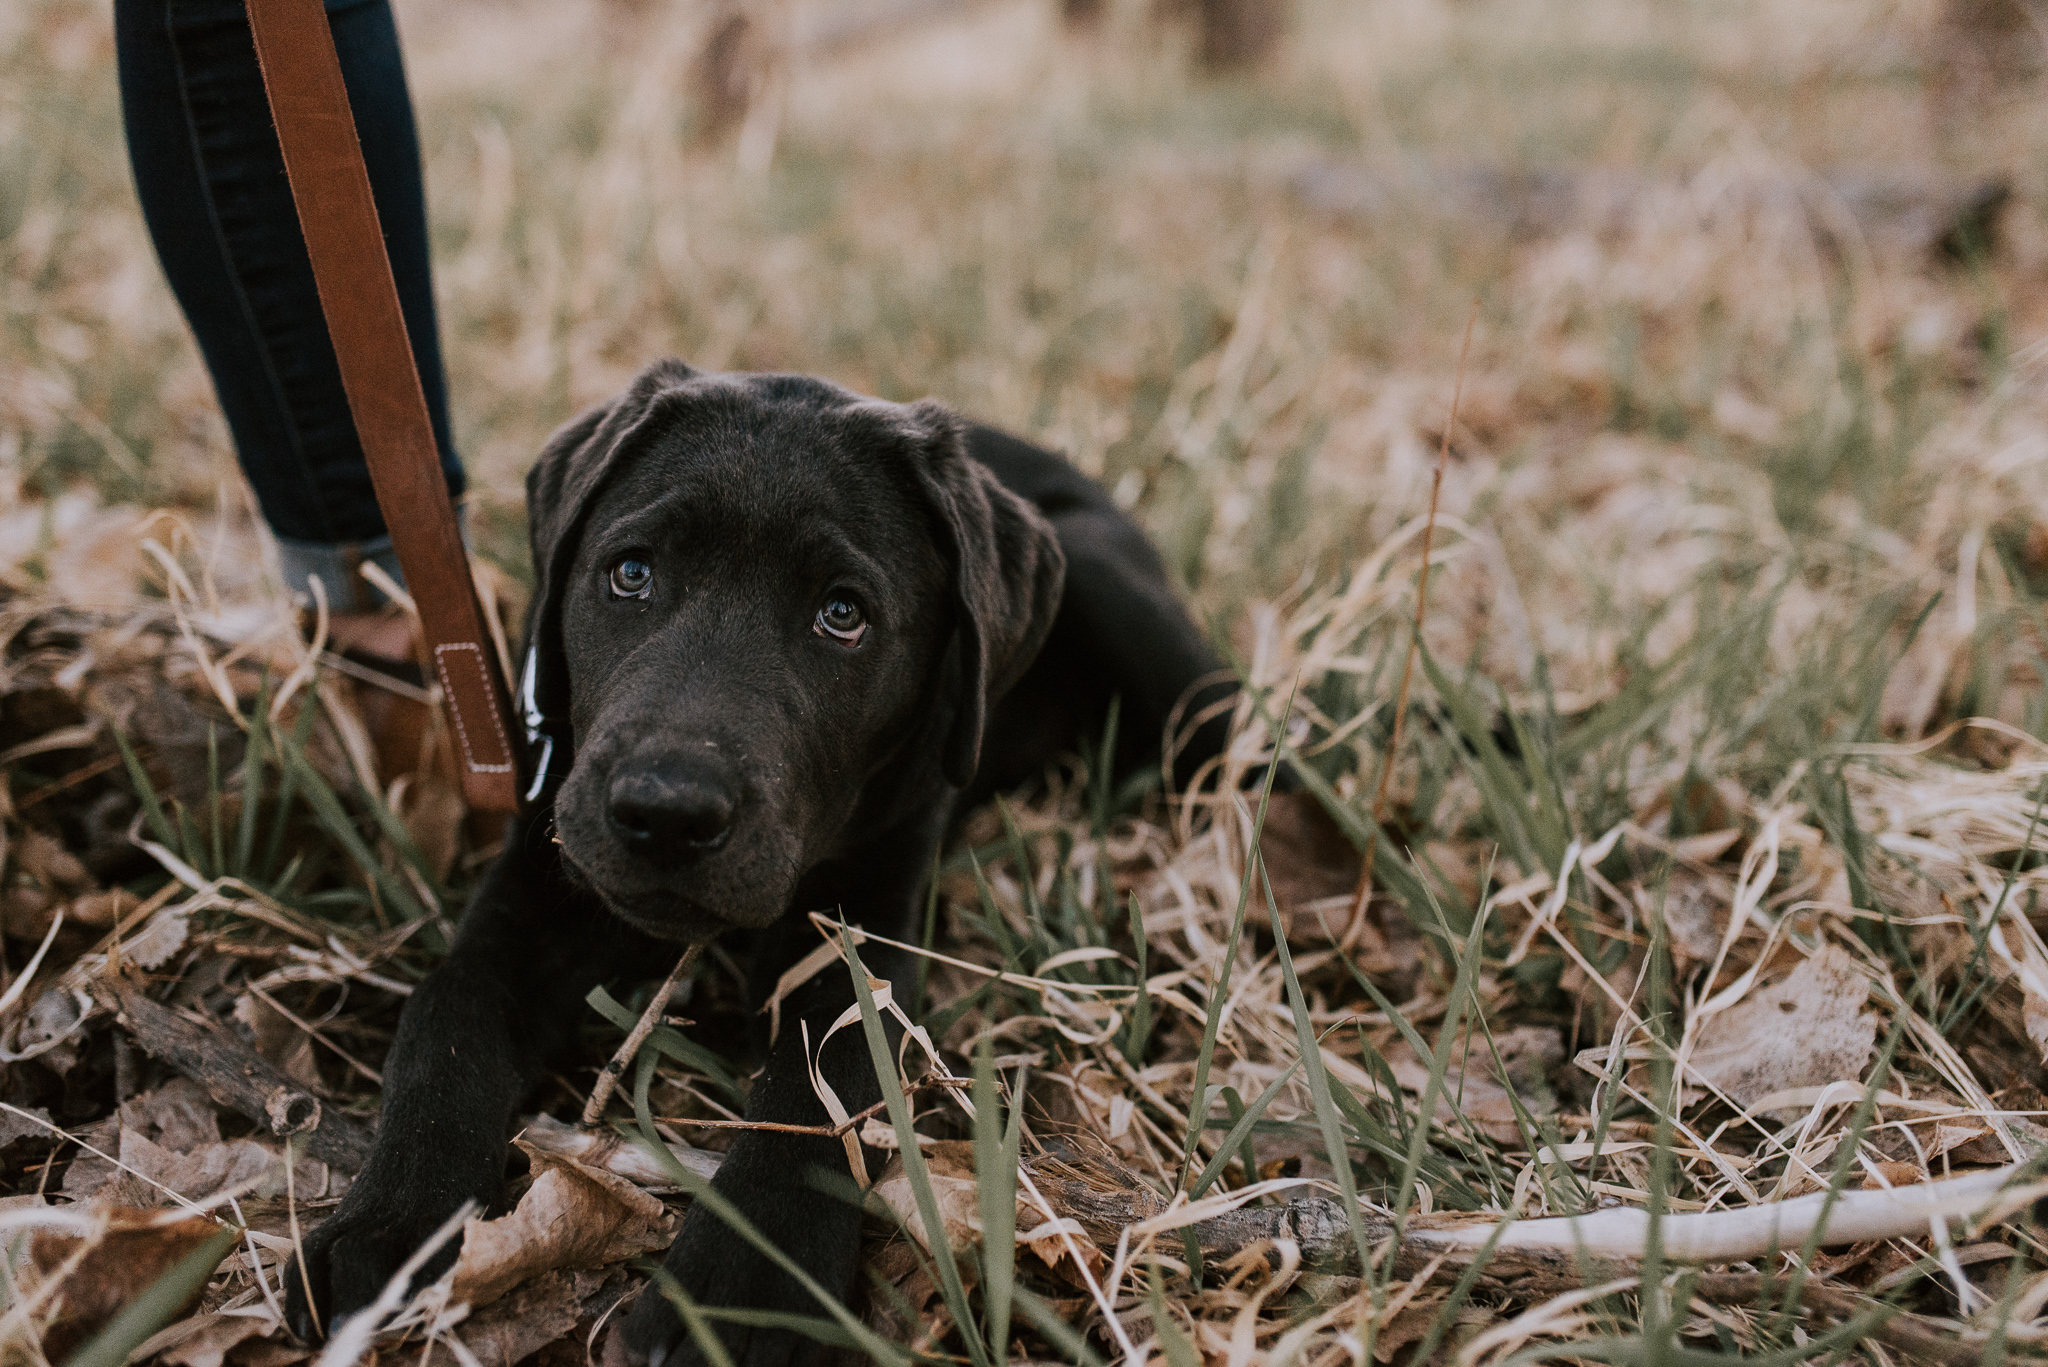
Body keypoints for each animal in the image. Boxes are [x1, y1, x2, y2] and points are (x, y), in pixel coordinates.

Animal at [284, 362, 1228, 1367]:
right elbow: (444, 1015)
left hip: (1119, 598)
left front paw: (738, 1296)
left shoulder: (866, 922)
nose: (666, 810)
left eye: (843, 614)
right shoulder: (536, 886)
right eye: (630, 573)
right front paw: (387, 1227)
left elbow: (822, 1087)